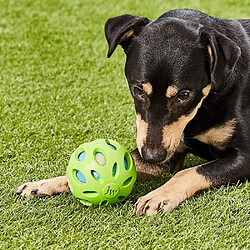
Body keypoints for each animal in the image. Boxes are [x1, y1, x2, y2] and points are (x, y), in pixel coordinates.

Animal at [16, 8, 249, 216]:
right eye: (138, 90)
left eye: (184, 95)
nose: (152, 157)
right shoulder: (170, 151)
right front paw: (44, 184)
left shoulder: (244, 157)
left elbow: (189, 171)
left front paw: (158, 196)